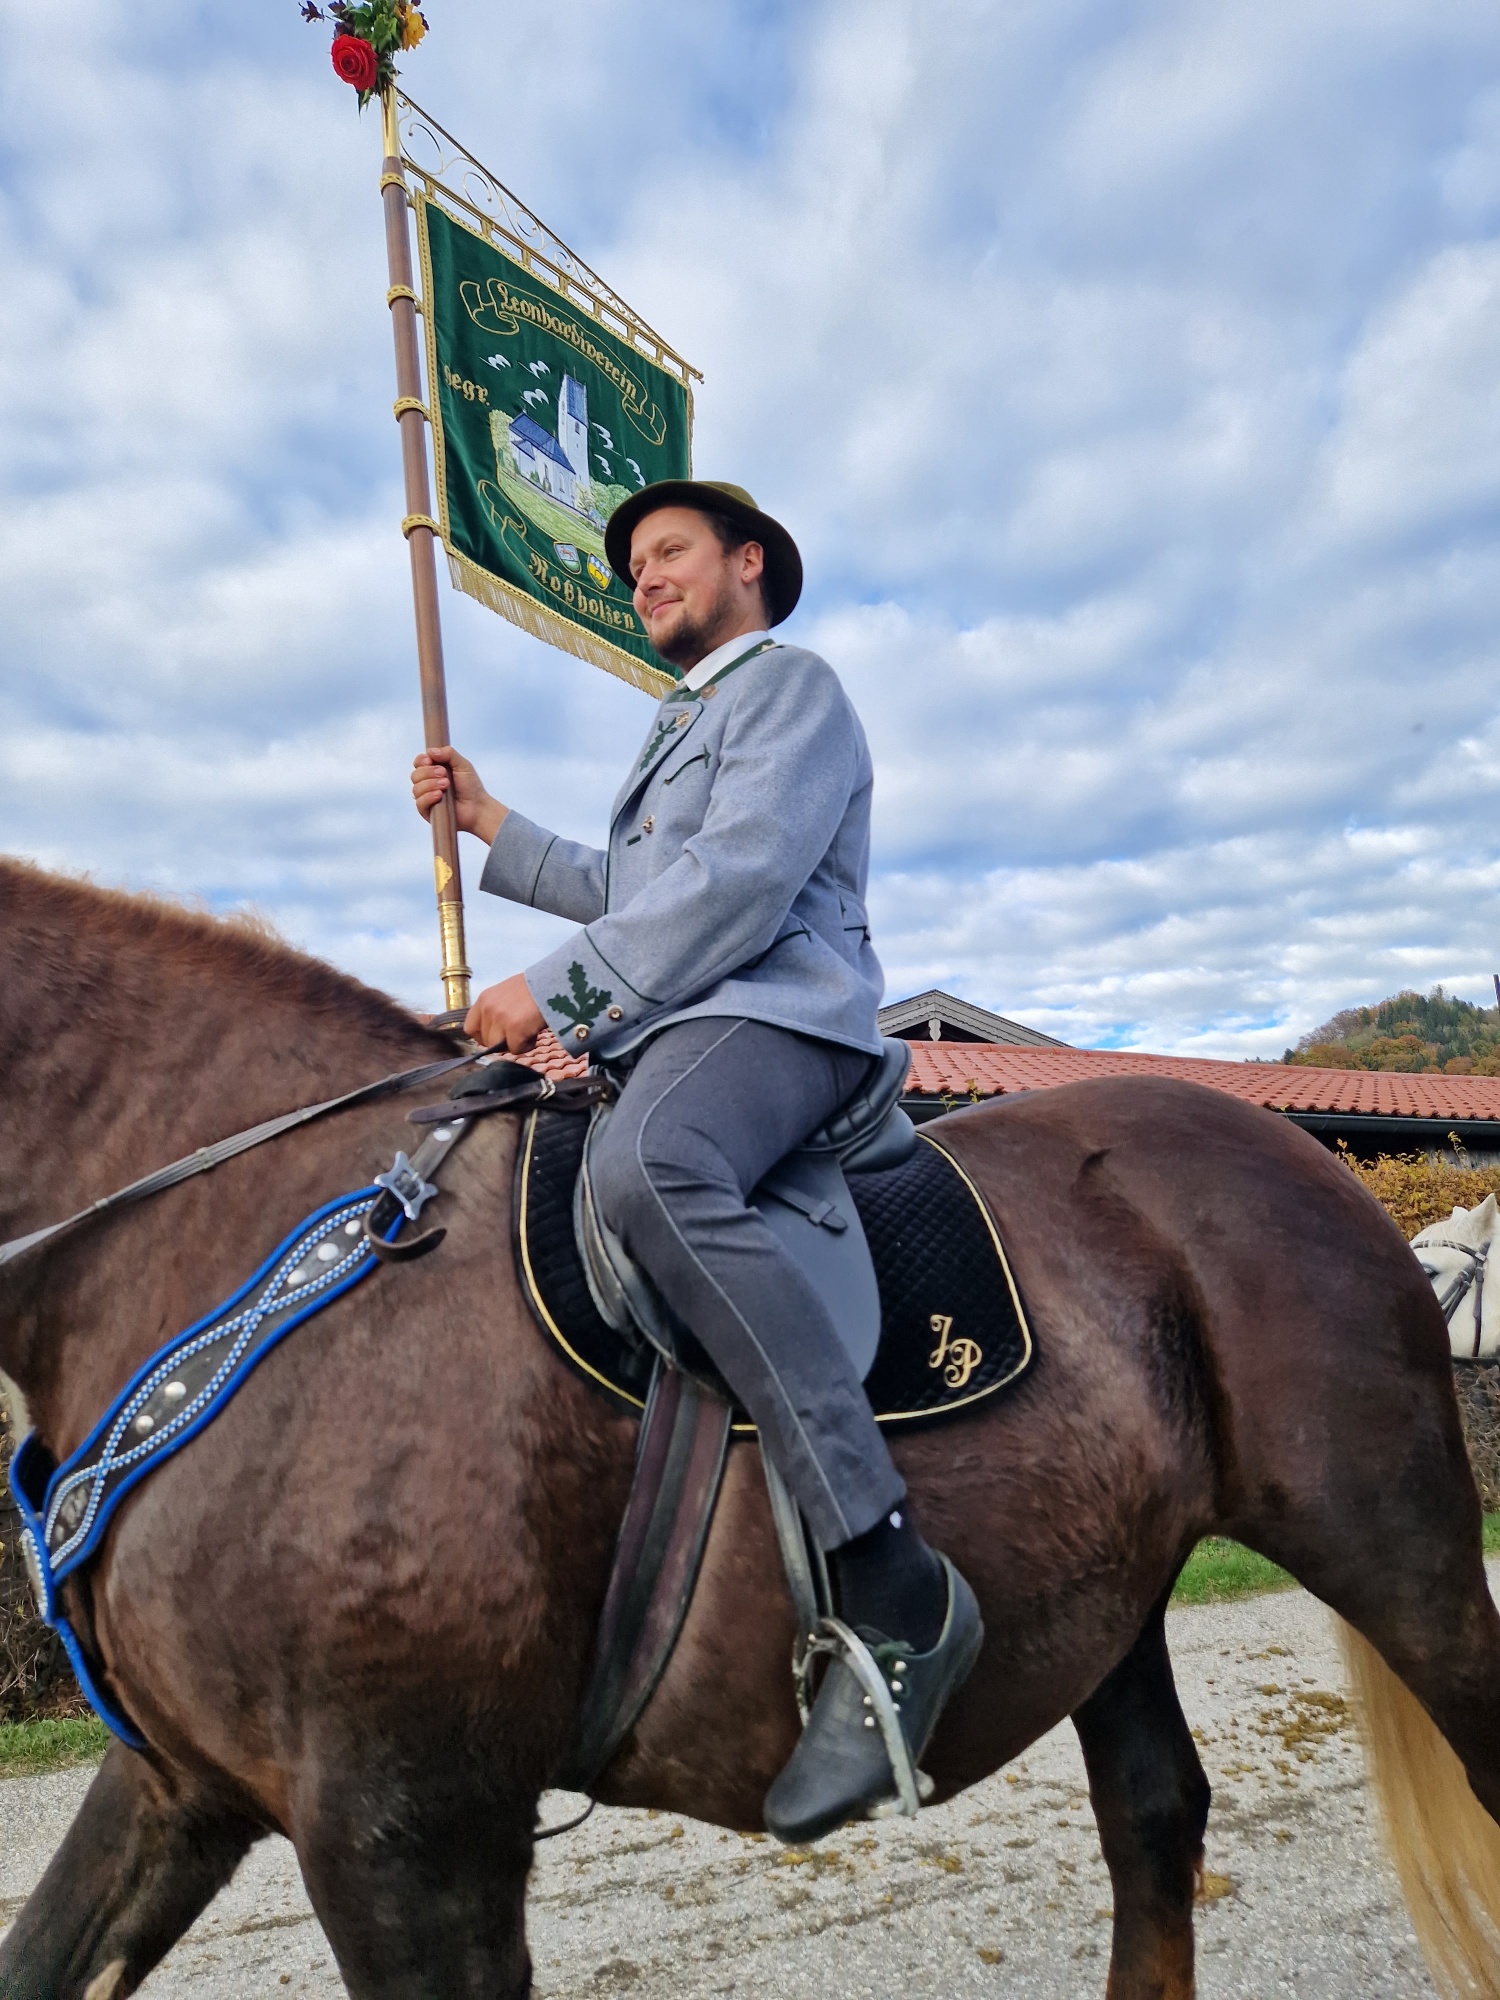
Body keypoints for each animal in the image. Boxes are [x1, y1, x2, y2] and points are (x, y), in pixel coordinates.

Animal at [3, 853, 1500, 2000]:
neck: (245, 1227)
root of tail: (1319, 1166)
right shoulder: (183, 1788)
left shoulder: (408, 1831)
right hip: (1114, 1593)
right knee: (1153, 1822)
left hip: (1395, 1542)